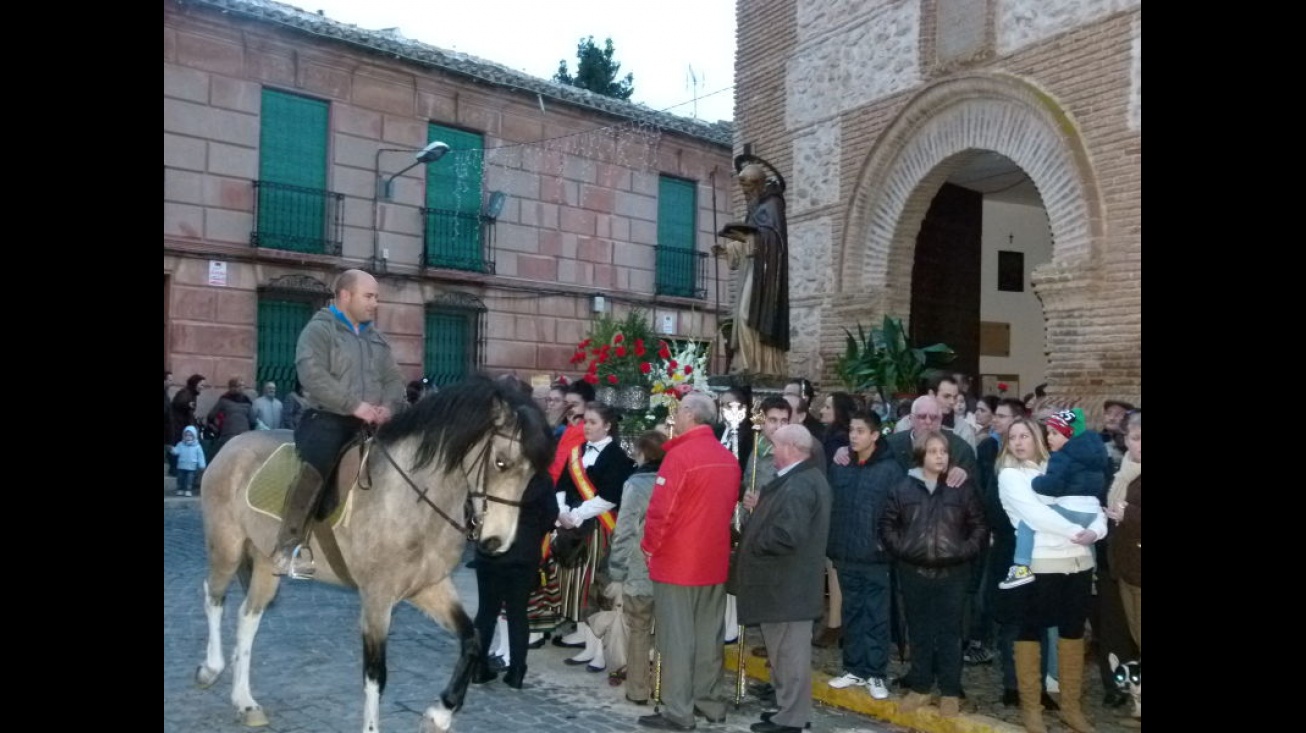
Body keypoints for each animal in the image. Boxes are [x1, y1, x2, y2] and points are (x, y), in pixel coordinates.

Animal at [193, 376, 551, 731]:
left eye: (533, 474)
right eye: (501, 462)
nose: (497, 542)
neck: (411, 499)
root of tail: (231, 445)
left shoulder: (429, 587)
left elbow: (473, 639)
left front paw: (441, 712)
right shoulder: (377, 597)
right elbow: (376, 675)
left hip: (267, 564)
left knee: (248, 616)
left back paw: (245, 702)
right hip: (227, 547)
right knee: (214, 597)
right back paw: (210, 668)